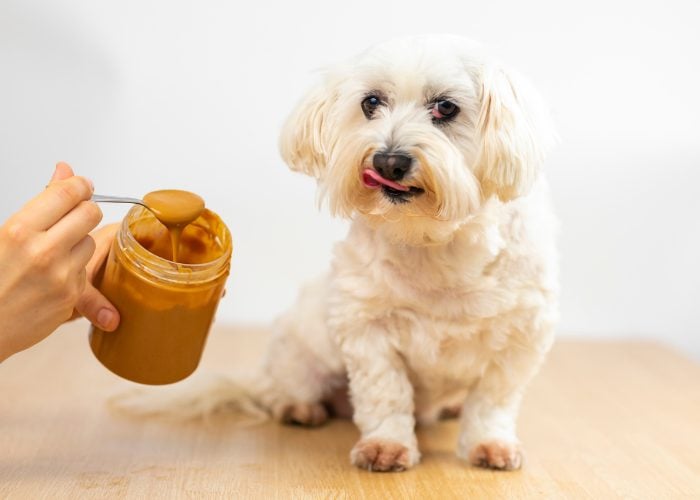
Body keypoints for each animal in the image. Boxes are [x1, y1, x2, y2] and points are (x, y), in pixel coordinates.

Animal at [119, 34, 556, 472]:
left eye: (446, 107)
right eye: (371, 102)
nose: (389, 161)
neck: (431, 241)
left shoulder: (521, 338)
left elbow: (492, 401)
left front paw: (490, 444)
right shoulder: (367, 330)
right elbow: (386, 393)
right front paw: (386, 445)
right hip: (301, 355)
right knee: (279, 390)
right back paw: (297, 407)